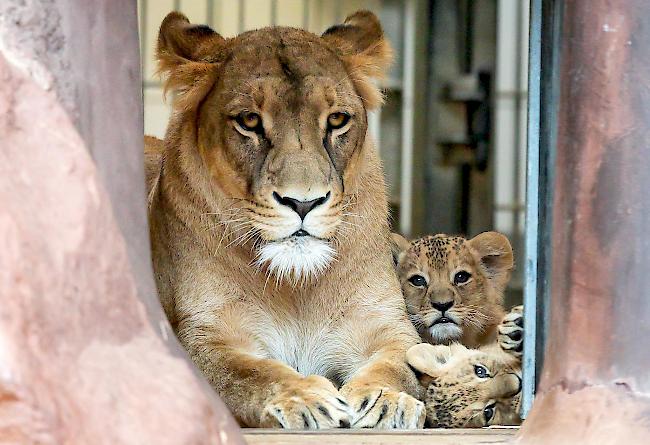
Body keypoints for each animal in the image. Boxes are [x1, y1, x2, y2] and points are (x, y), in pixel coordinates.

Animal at [146, 9, 420, 426]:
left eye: (337, 119)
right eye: (249, 120)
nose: (303, 202)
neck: (296, 288)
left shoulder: (384, 323)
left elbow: (402, 364)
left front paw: (387, 401)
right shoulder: (203, 334)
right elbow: (249, 372)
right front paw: (303, 399)